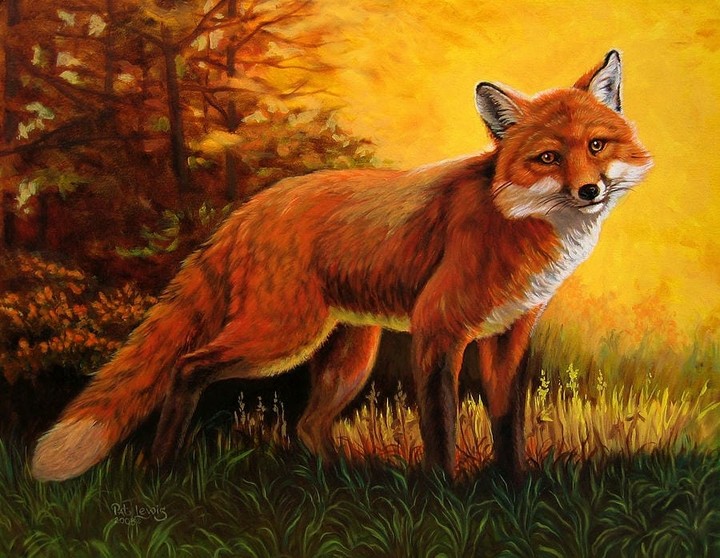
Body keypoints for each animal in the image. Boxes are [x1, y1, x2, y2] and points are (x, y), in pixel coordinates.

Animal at [31, 50, 651, 483]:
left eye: (597, 146)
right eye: (547, 157)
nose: (590, 190)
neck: (516, 222)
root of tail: (251, 207)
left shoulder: (510, 335)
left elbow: (508, 425)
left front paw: (512, 488)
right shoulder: (438, 327)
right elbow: (442, 426)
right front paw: (446, 496)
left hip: (348, 357)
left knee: (306, 426)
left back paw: (336, 483)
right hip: (283, 336)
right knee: (188, 367)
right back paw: (161, 467)